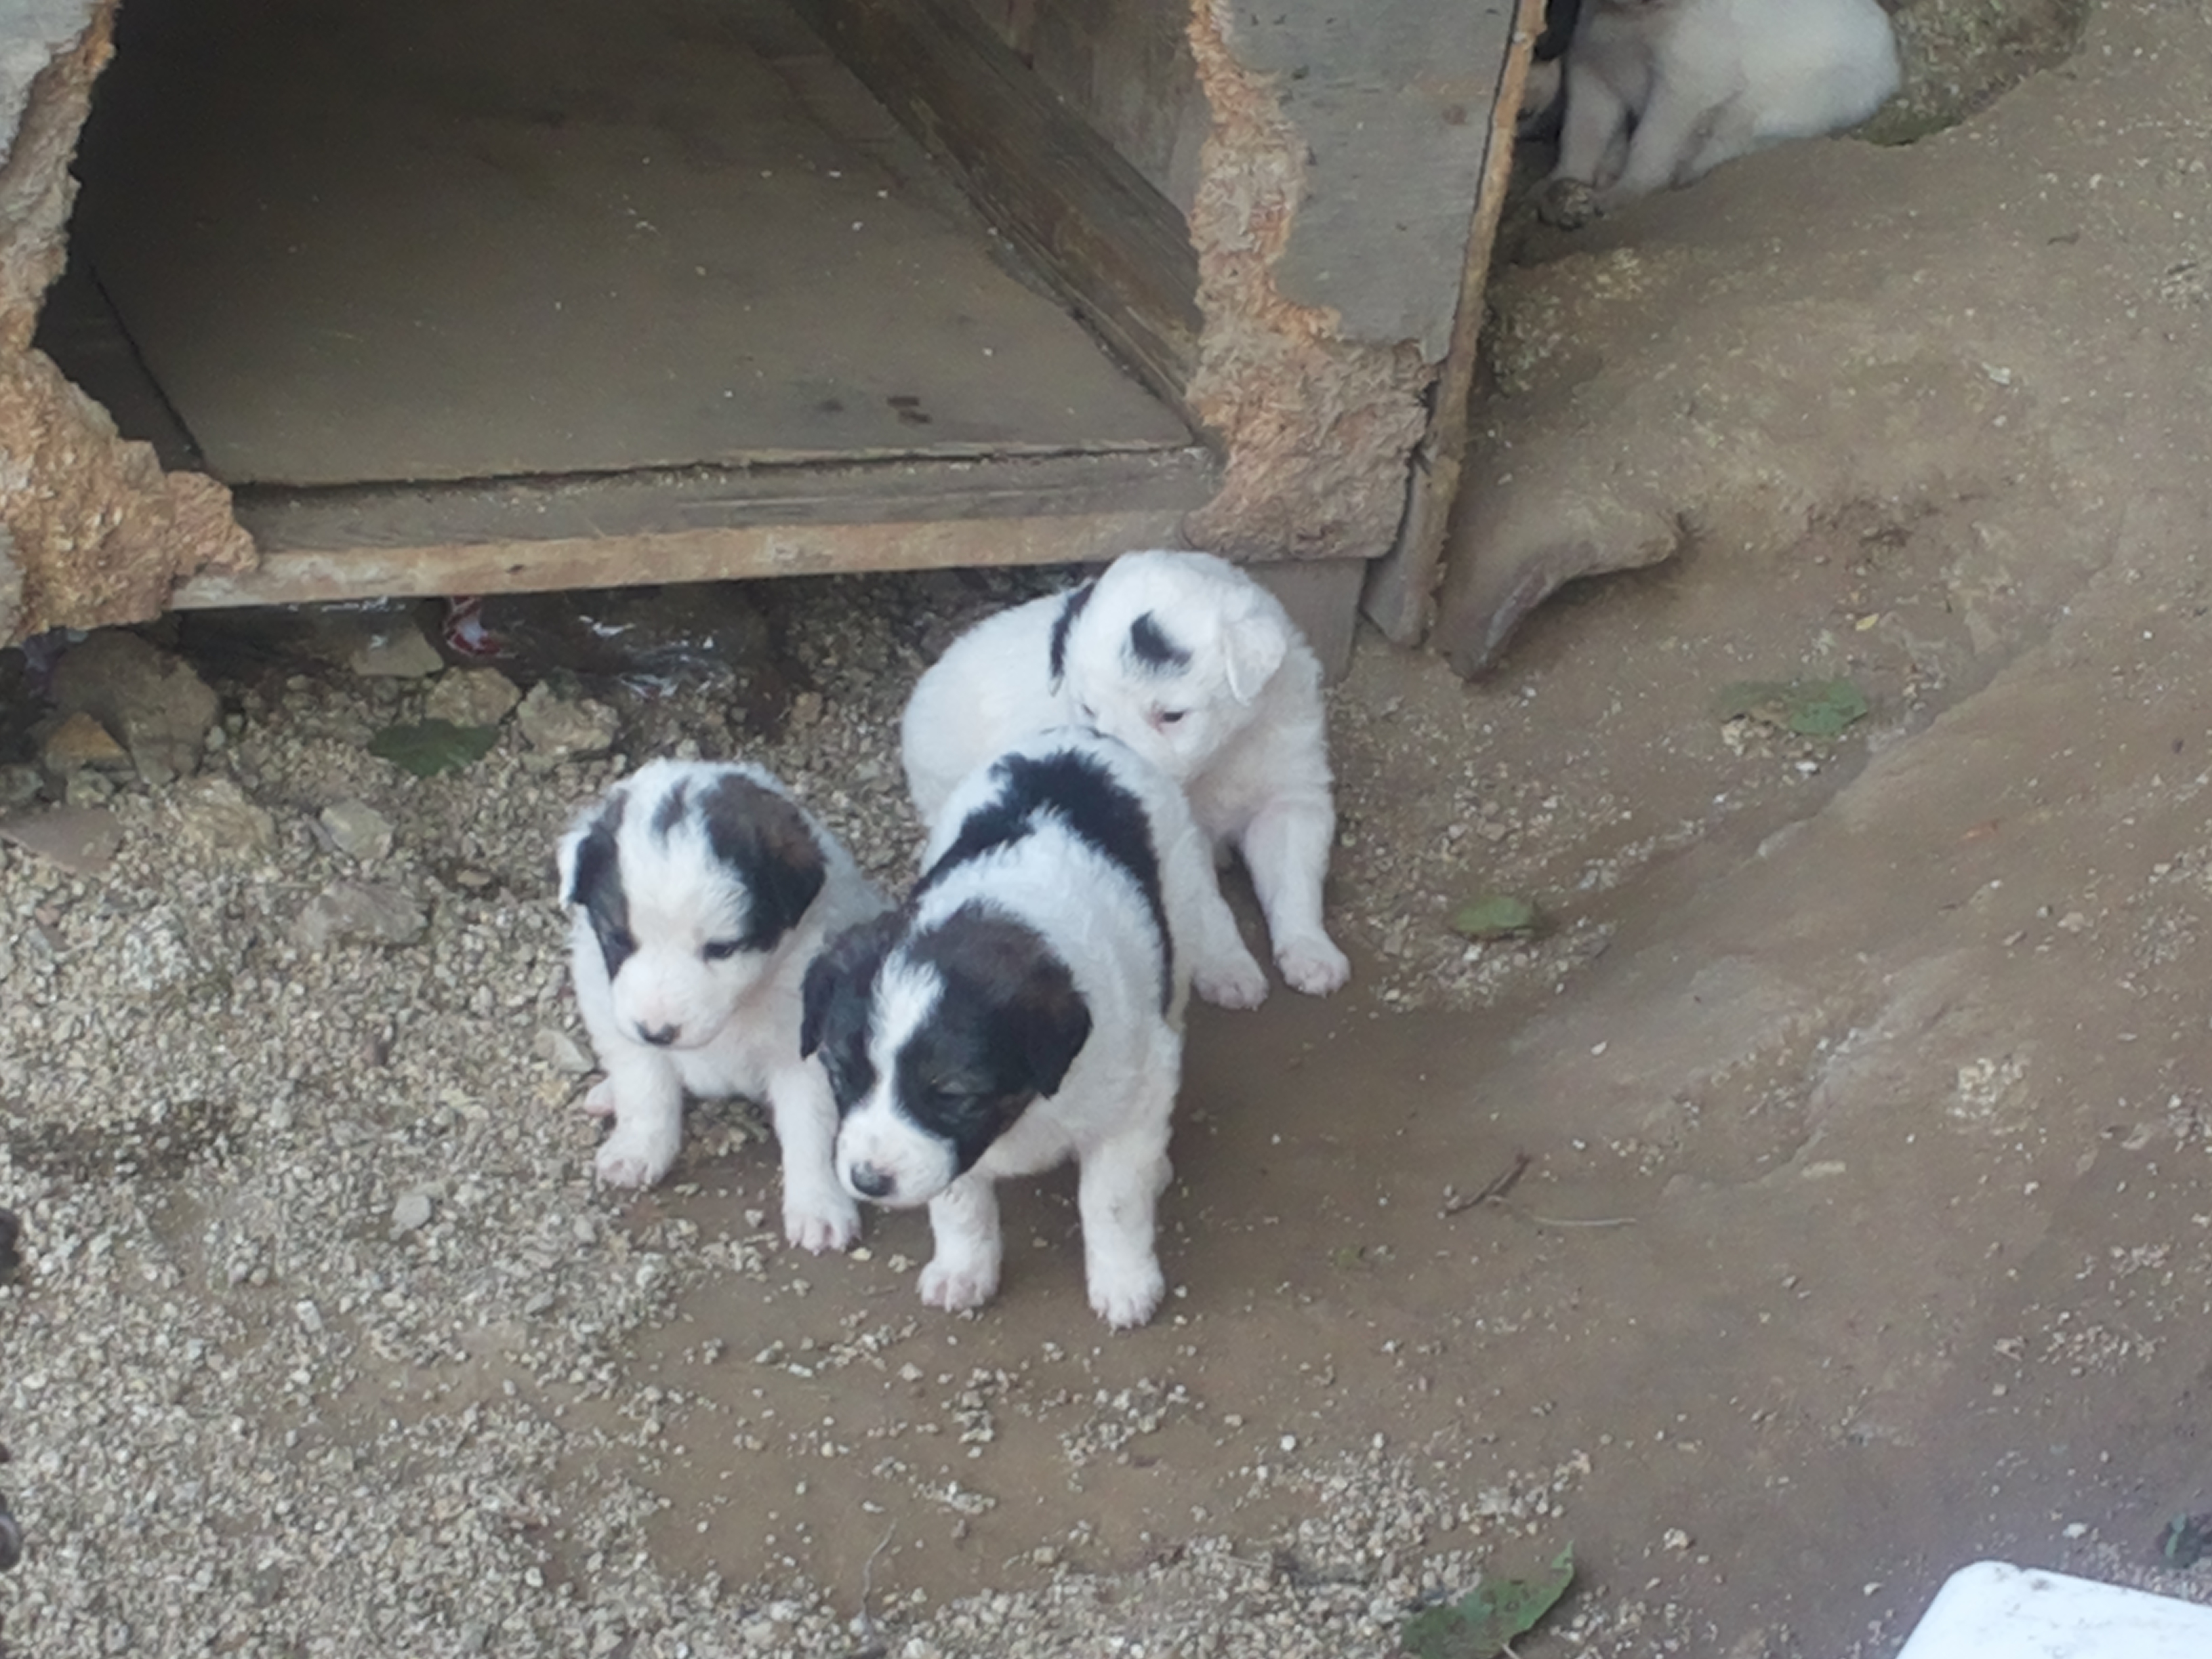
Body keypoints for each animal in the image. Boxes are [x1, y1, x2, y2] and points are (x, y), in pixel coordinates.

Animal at [557, 759, 885, 1251]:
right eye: (619, 939)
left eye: (722, 949)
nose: (658, 1032)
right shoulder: (609, 1003)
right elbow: (645, 1085)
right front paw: (638, 1148)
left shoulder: (805, 1052)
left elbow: (809, 1128)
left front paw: (819, 1205)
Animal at [802, 727, 1254, 1327]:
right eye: (840, 1075)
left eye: (953, 1094)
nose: (868, 1182)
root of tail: (1078, 735)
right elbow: (959, 1201)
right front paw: (963, 1269)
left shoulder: (1136, 1090)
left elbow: (1112, 1201)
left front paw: (1125, 1282)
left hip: (1179, 924)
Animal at [900, 550, 1345, 999]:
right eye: (1087, 708)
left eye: (1172, 715)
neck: (1221, 758)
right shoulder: (1181, 839)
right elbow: (1209, 908)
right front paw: (1228, 968)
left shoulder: (1290, 794)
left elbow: (1294, 880)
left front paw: (1311, 951)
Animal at [1544, 0, 1899, 222]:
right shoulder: (1593, 64)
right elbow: (1582, 128)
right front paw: (1561, 183)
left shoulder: (1692, 72)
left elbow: (1654, 136)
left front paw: (1623, 192)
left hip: (1816, 92)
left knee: (1742, 134)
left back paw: (1690, 166)